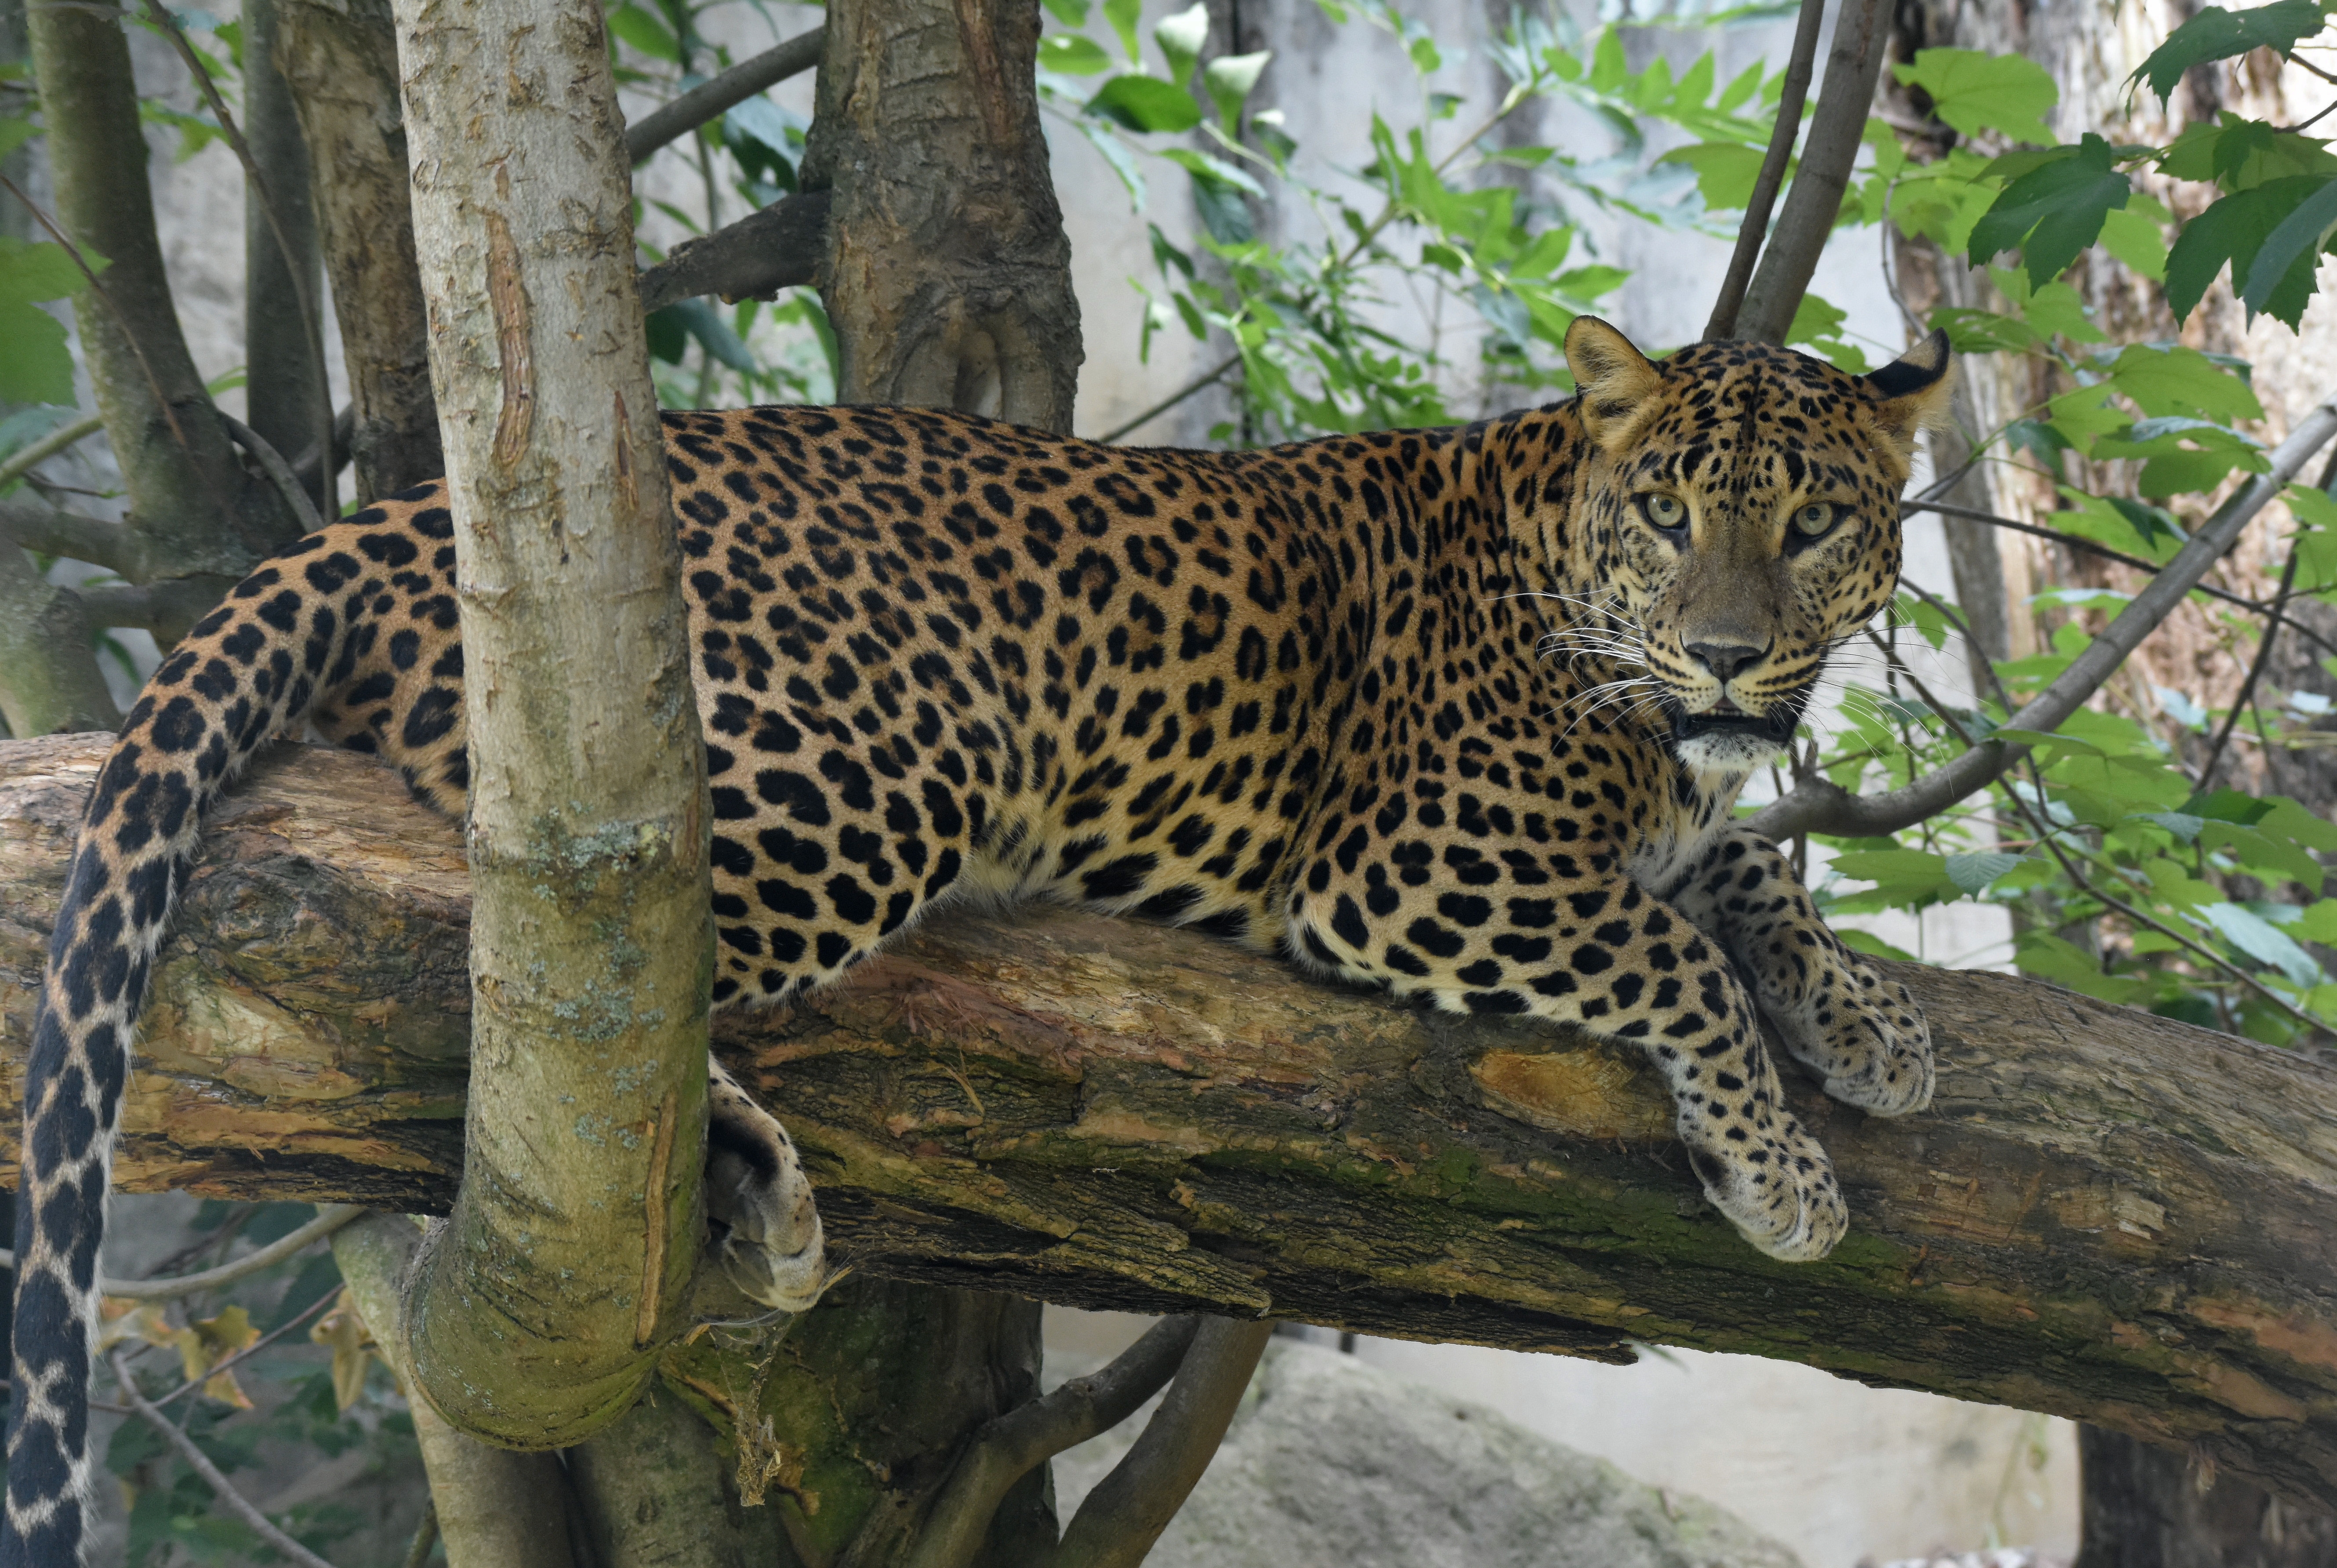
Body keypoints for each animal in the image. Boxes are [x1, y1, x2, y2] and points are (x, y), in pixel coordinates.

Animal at [4, 318, 1953, 1561]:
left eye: (1812, 521)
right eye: (1670, 515)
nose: (1728, 654)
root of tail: (396, 508)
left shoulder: (1664, 805)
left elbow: (1750, 871)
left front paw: (1868, 1023)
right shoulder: (1412, 861)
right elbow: (1673, 951)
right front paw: (1781, 1172)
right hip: (866, 760)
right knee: (533, 980)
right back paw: (757, 1182)